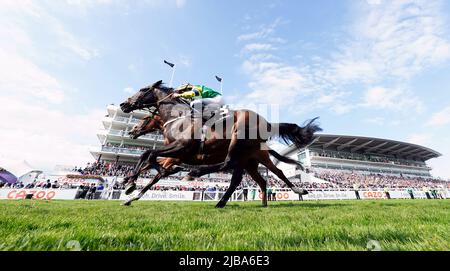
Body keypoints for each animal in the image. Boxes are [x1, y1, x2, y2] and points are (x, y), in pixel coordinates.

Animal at [120, 81, 324, 208]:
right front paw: (129, 186)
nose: (123, 104)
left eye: (143, 89)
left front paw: (131, 184)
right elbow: (148, 159)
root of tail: (268, 123)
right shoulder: (175, 154)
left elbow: (149, 156)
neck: (177, 118)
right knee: (256, 178)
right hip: (249, 160)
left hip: (239, 141)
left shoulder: (182, 149)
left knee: (231, 164)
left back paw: (194, 174)